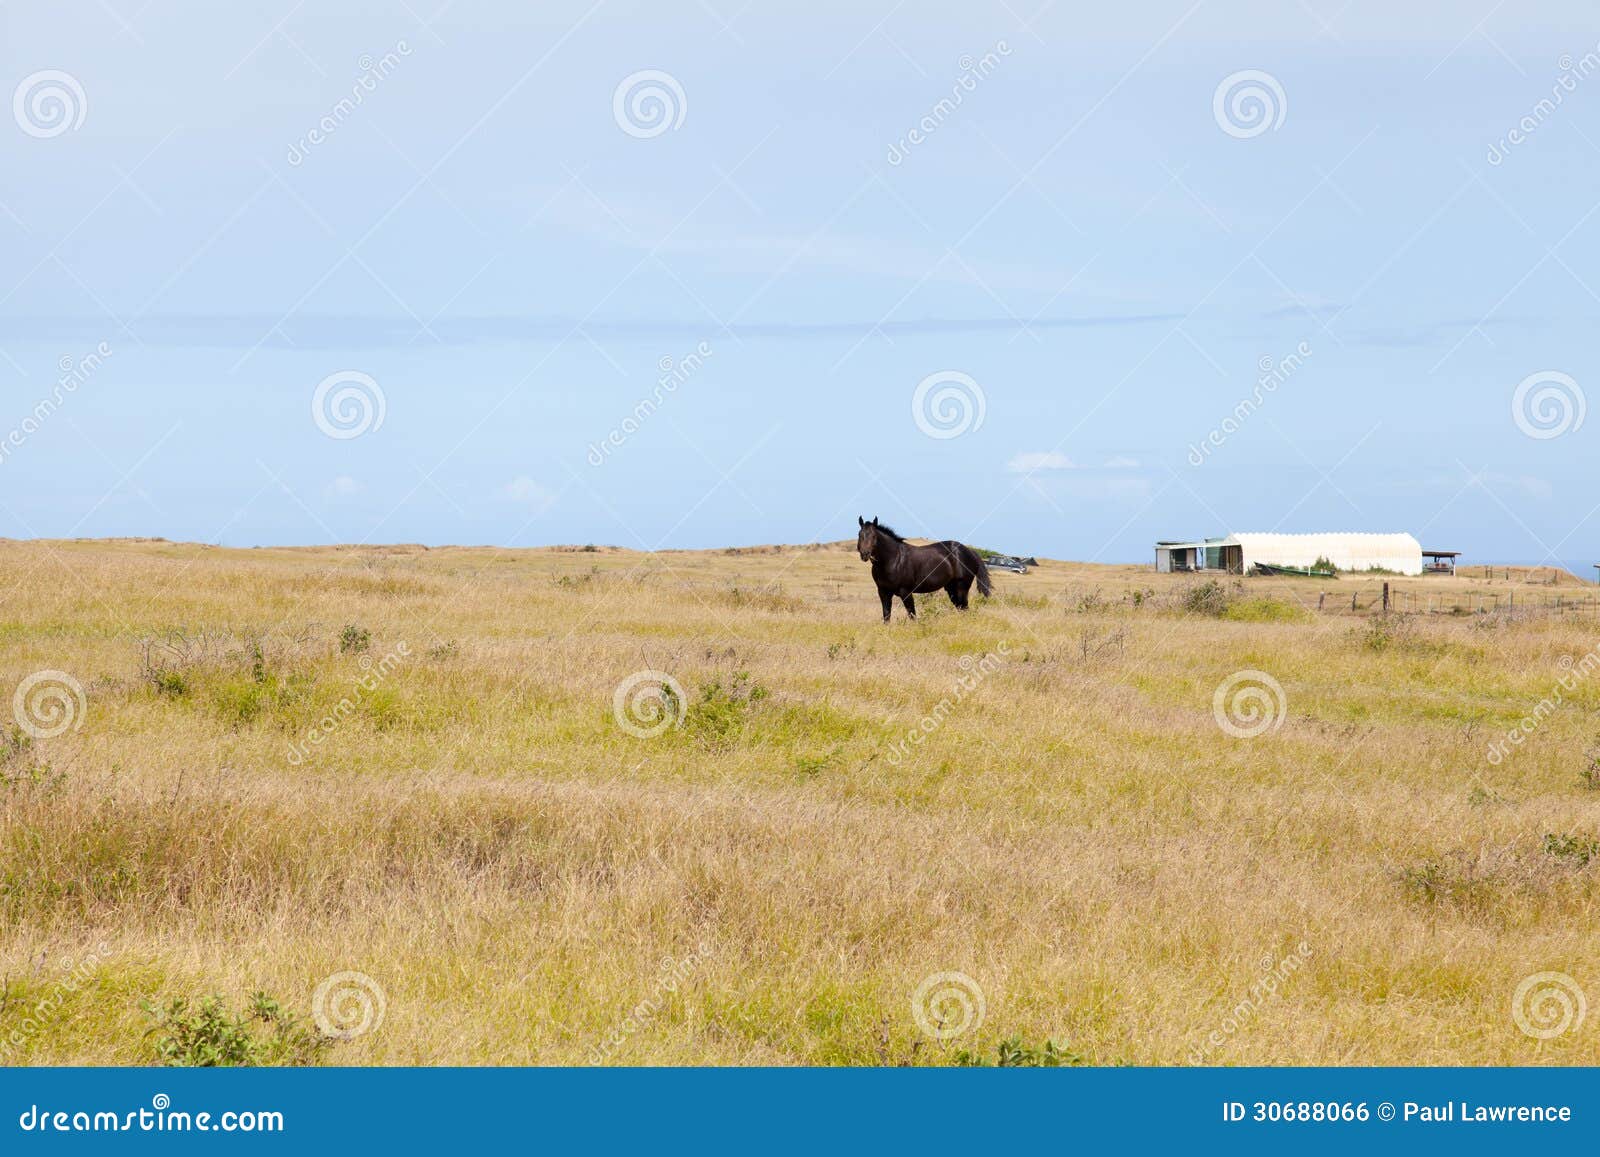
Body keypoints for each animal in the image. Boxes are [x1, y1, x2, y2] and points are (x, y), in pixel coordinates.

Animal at [855, 516, 993, 622]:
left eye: (874, 536)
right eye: (860, 534)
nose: (864, 554)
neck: (893, 560)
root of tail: (970, 551)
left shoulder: (906, 592)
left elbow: (912, 616)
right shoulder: (883, 592)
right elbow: (886, 616)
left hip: (961, 588)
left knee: (964, 608)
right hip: (951, 589)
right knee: (961, 608)